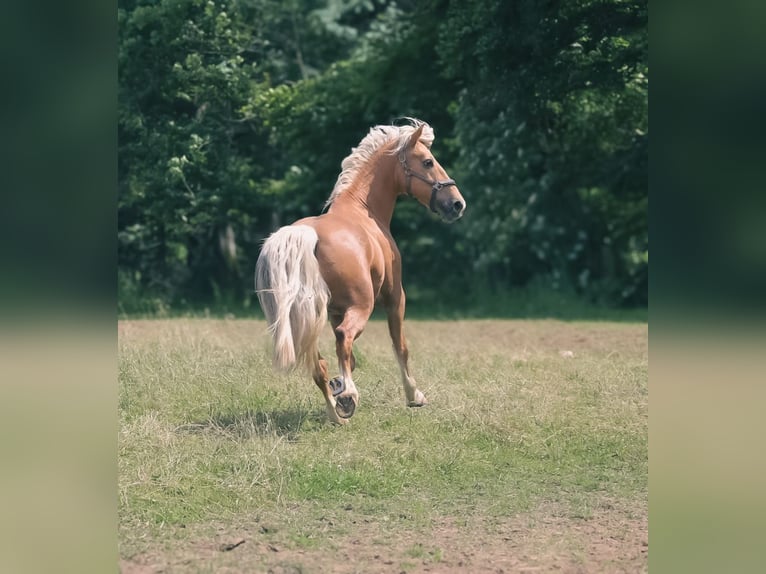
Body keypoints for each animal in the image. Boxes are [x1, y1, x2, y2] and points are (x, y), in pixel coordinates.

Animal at [255, 119, 464, 426]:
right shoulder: (395, 297)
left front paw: (340, 388)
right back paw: (349, 396)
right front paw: (413, 396)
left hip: (308, 318)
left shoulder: (334, 312)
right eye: (428, 162)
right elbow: (400, 346)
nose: (457, 204)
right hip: (362, 306)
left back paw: (337, 413)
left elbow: (350, 361)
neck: (364, 209)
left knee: (320, 365)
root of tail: (306, 235)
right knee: (344, 338)